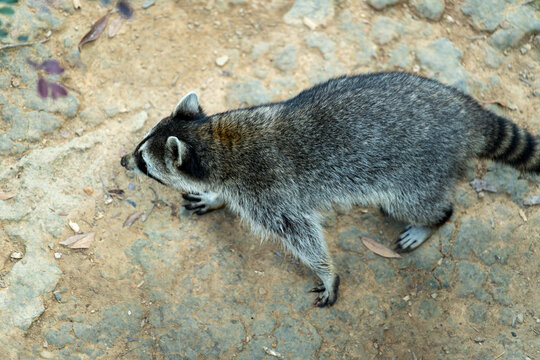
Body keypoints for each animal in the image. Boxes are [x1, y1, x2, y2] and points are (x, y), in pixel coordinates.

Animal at [120, 72, 536, 306]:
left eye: (143, 160)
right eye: (140, 148)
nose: (123, 161)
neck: (215, 141)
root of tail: (465, 113)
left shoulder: (268, 193)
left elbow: (302, 234)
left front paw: (326, 272)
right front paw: (214, 197)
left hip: (418, 169)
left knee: (417, 203)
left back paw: (430, 221)